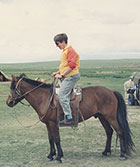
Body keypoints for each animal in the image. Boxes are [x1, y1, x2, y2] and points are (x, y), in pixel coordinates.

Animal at [6, 74, 135, 163]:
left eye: (13, 88)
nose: (8, 102)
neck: (45, 98)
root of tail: (111, 92)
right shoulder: (48, 124)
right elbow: (50, 139)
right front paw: (51, 155)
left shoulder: (53, 123)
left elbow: (57, 139)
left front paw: (58, 157)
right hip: (102, 117)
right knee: (109, 131)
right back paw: (105, 151)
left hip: (111, 117)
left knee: (120, 132)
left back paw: (122, 155)